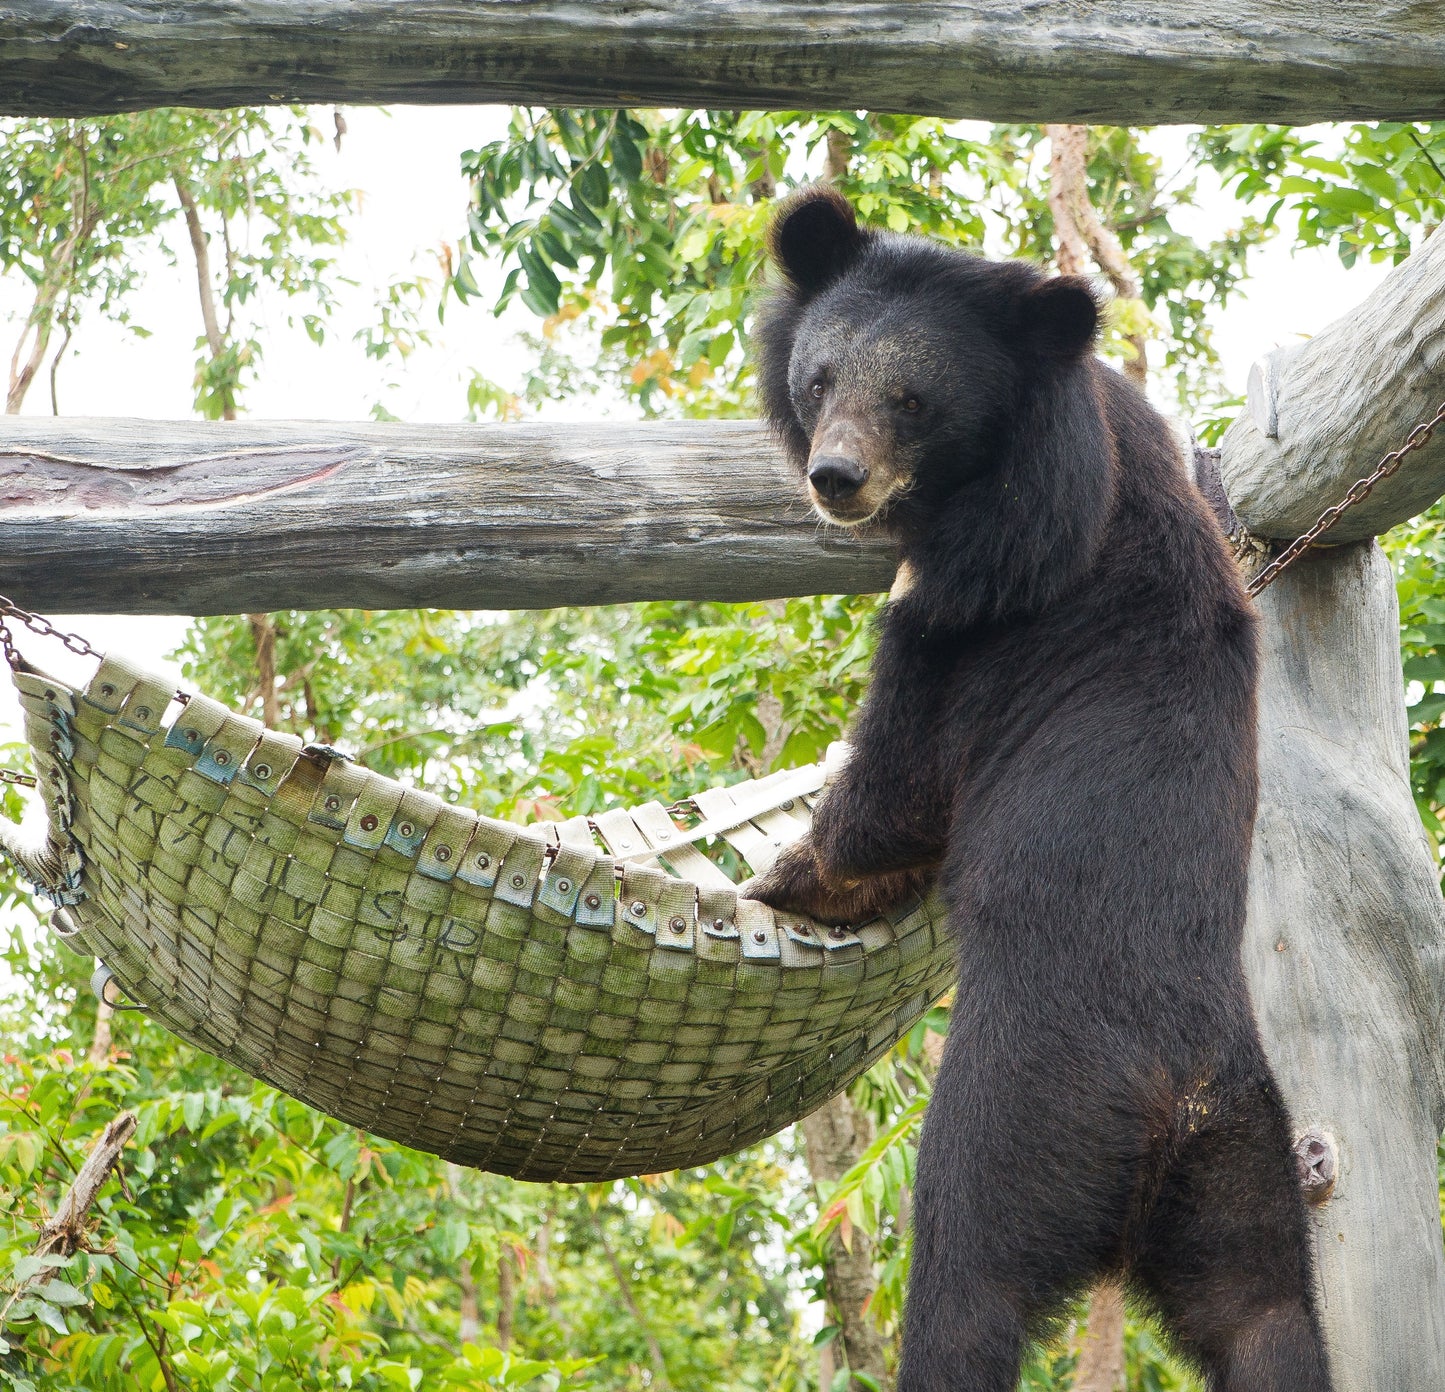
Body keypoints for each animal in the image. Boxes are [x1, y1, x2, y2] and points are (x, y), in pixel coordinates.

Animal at [744, 186, 1332, 1392]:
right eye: (819, 379)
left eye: (911, 402)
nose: (835, 480)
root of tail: (1170, 1094)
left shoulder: (983, 600)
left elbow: (895, 793)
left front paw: (787, 871)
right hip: (1247, 1171)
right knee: (1267, 1318)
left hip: (1014, 1118)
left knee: (967, 1294)